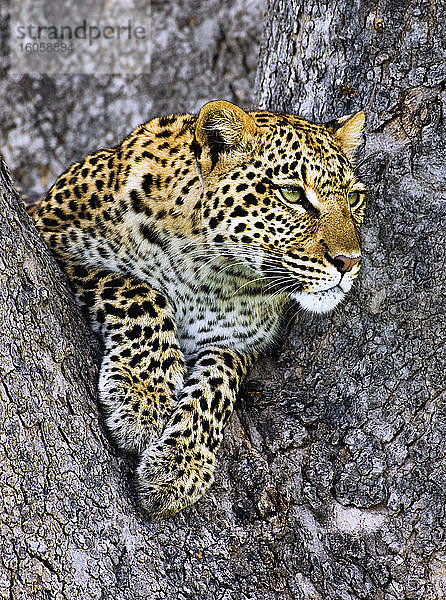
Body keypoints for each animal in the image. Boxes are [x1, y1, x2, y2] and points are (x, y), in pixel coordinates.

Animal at [32, 101, 366, 516]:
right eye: (291, 194)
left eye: (354, 198)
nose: (350, 261)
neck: (213, 276)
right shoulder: (52, 239)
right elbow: (142, 293)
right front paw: (143, 394)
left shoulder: (236, 343)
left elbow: (218, 384)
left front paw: (180, 465)